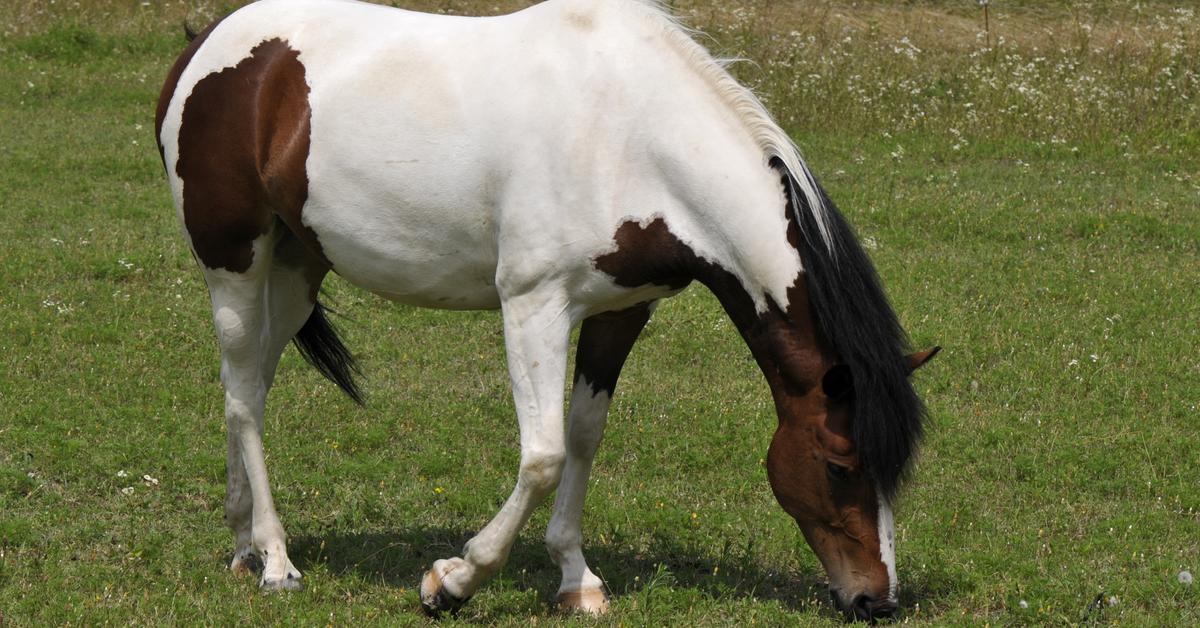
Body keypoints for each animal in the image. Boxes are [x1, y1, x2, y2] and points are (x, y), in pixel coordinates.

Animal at [154, 0, 936, 619]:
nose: (876, 600)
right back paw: (277, 561)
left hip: (296, 268)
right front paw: (452, 583)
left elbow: (584, 438)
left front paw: (575, 579)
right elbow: (543, 455)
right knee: (243, 394)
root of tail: (208, 47)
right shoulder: (533, 307)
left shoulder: (622, 312)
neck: (631, 134)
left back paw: (243, 545)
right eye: (838, 464)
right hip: (233, 264)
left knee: (251, 385)